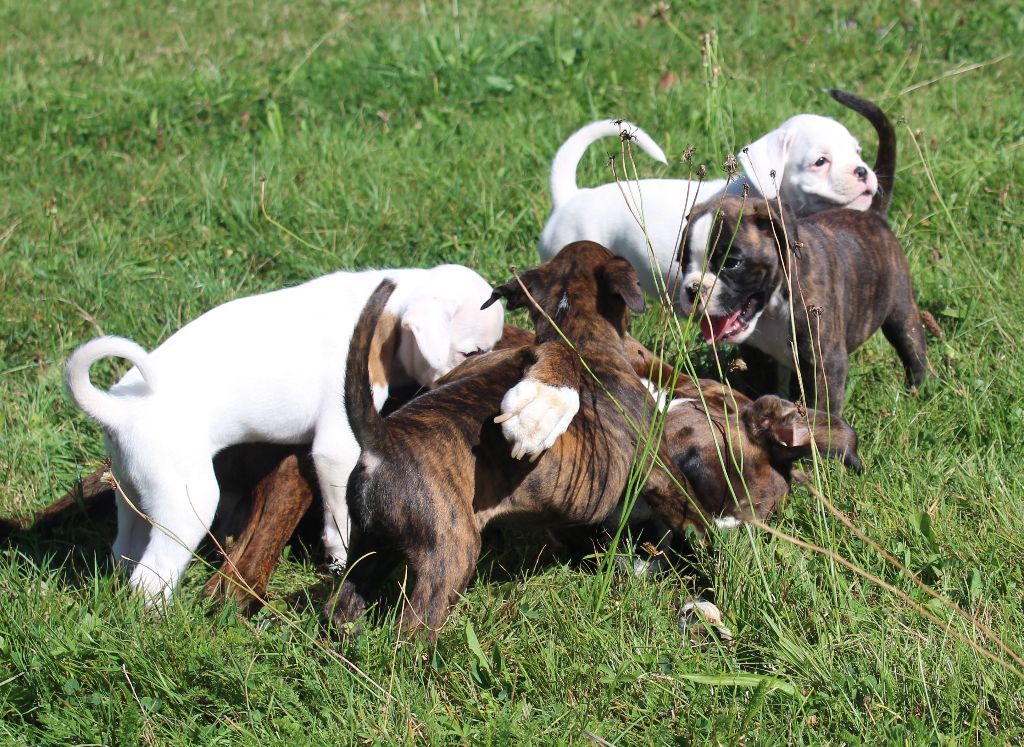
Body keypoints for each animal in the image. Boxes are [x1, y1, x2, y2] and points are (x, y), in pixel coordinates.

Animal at [64, 264, 503, 602]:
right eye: (471, 352)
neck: (386, 314)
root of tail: (118, 411)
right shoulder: (335, 450)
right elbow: (339, 516)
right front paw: (340, 557)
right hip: (187, 504)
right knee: (150, 579)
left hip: (133, 493)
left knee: (125, 550)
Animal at [329, 241, 712, 639]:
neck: (578, 335)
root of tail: (381, 440)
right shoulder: (661, 473)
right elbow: (695, 519)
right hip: (449, 553)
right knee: (414, 628)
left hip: (370, 545)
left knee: (342, 605)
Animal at [679, 91, 929, 413]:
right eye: (683, 262)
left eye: (731, 263)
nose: (693, 289)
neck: (772, 306)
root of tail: (872, 215)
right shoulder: (758, 359)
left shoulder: (826, 363)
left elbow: (824, 407)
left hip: (900, 309)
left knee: (912, 345)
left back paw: (918, 390)